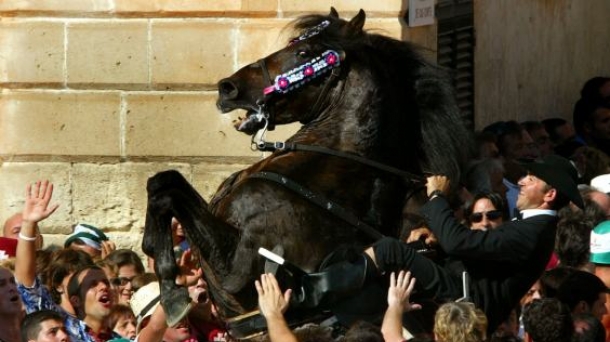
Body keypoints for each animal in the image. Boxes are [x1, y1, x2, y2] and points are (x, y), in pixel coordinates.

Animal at [141, 7, 470, 336]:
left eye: (303, 52)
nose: (228, 88)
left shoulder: (237, 268)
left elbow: (169, 192)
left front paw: (171, 292)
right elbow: (162, 183)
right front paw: (156, 256)